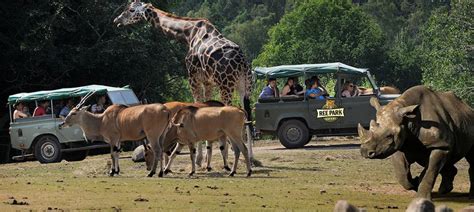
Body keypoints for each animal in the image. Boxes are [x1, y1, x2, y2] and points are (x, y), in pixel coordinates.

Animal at [113, 0, 254, 169]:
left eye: (131, 10)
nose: (117, 20)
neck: (188, 34)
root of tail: (242, 62)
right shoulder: (207, 81)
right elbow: (207, 107)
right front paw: (206, 159)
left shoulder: (193, 78)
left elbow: (198, 106)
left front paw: (200, 159)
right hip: (244, 86)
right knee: (247, 114)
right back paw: (251, 158)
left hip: (226, 84)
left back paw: (232, 154)